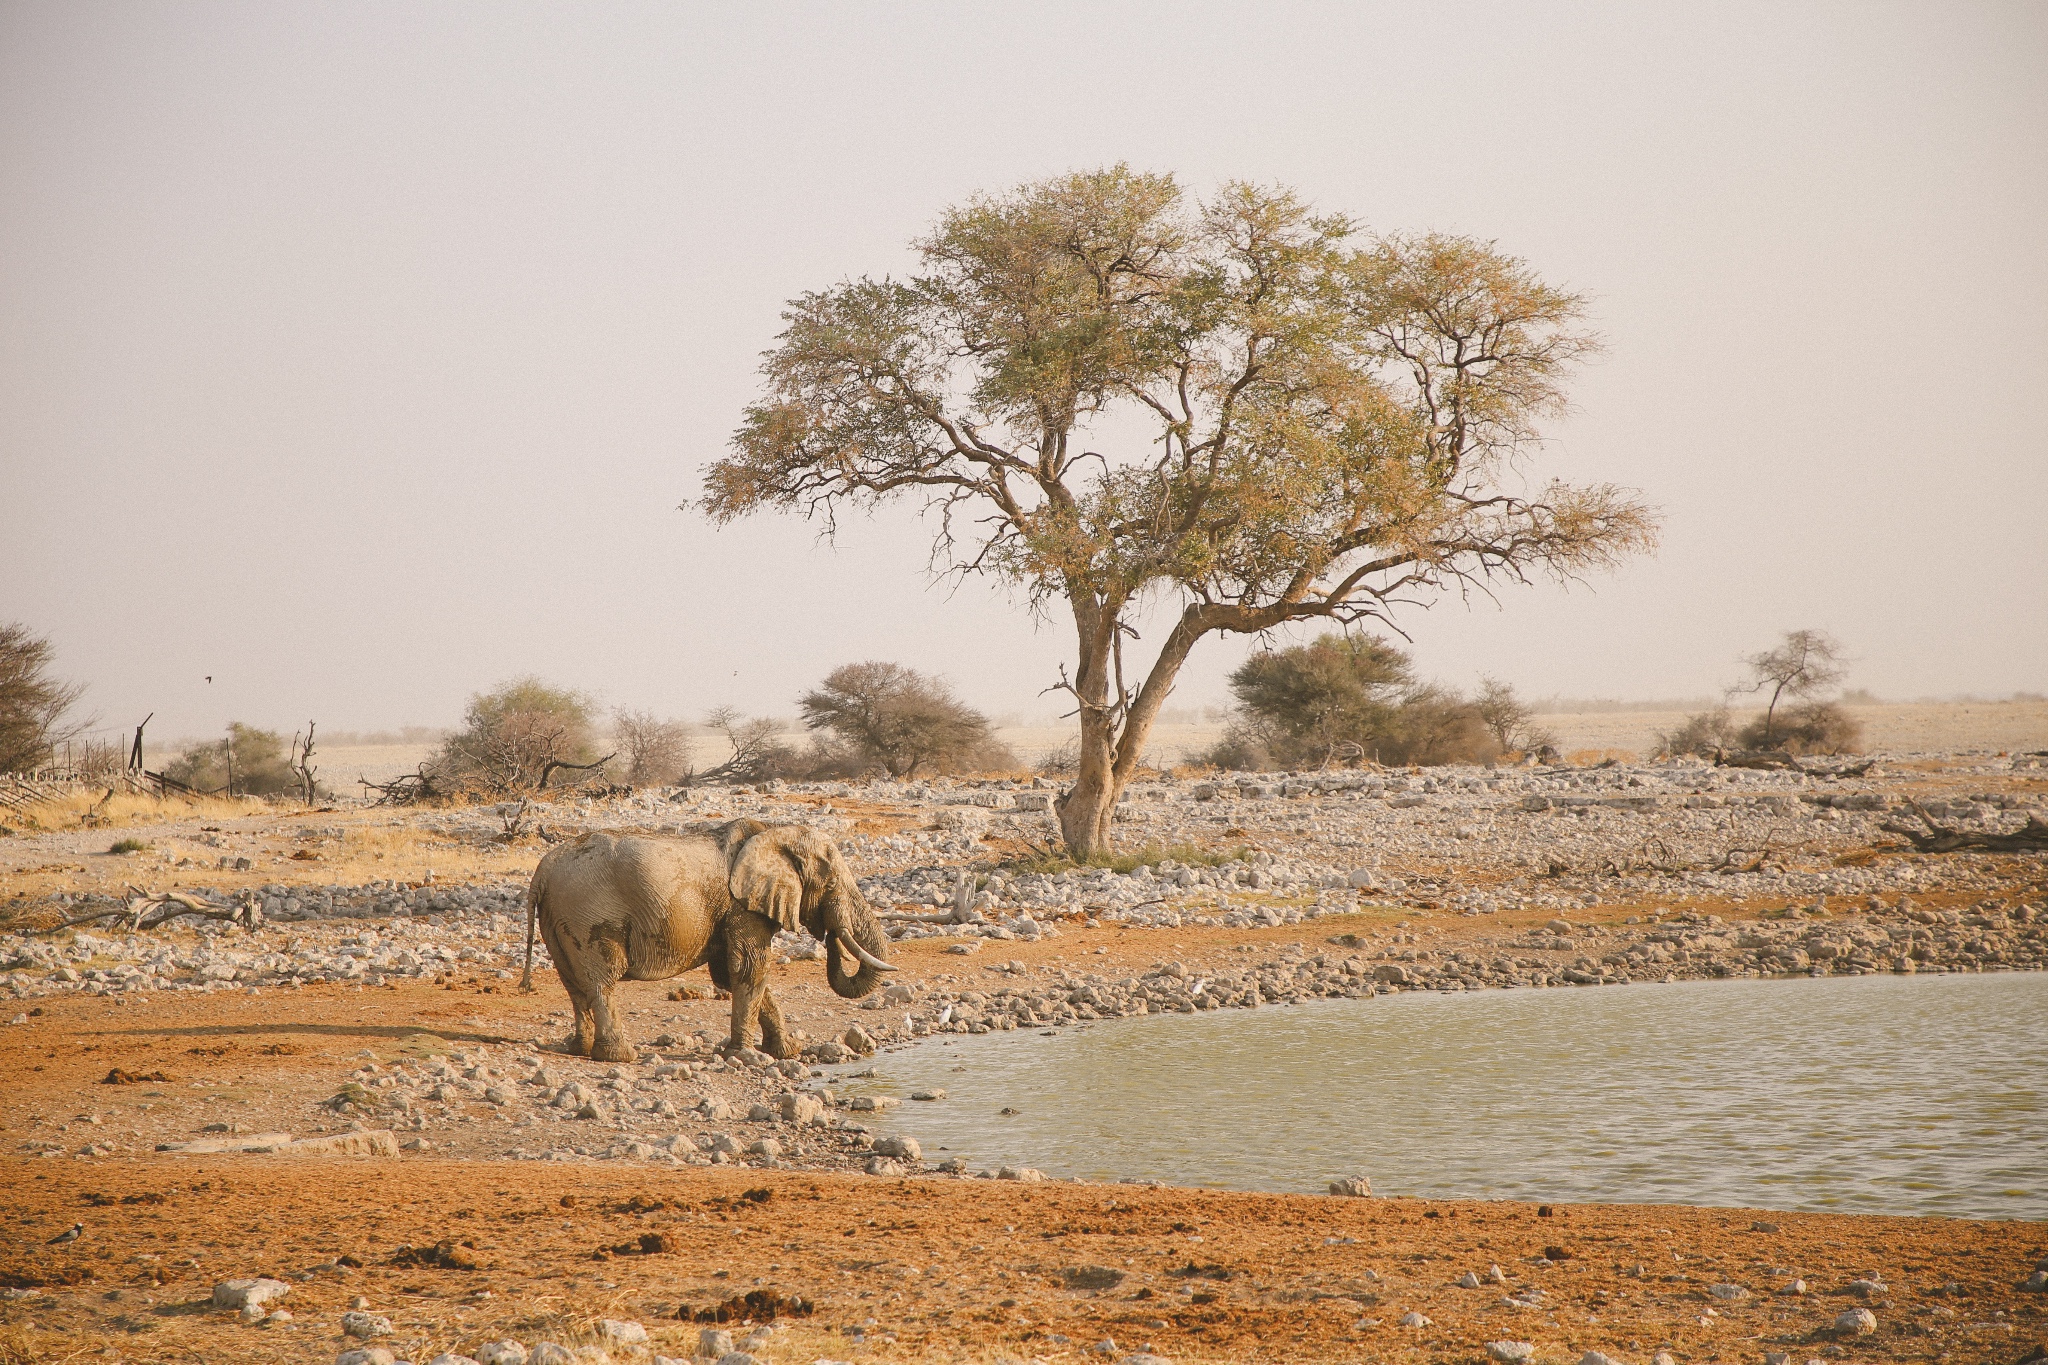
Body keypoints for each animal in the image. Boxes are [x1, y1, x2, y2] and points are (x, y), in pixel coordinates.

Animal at [516, 818, 892, 1064]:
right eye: (831, 883)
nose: (830, 933)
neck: (773, 832)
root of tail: (541, 873)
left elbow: (733, 973)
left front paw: (787, 1052)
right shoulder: (742, 906)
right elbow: (750, 969)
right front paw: (745, 1056)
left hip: (559, 918)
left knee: (574, 984)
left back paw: (580, 1050)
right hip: (587, 915)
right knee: (601, 980)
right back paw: (621, 1057)